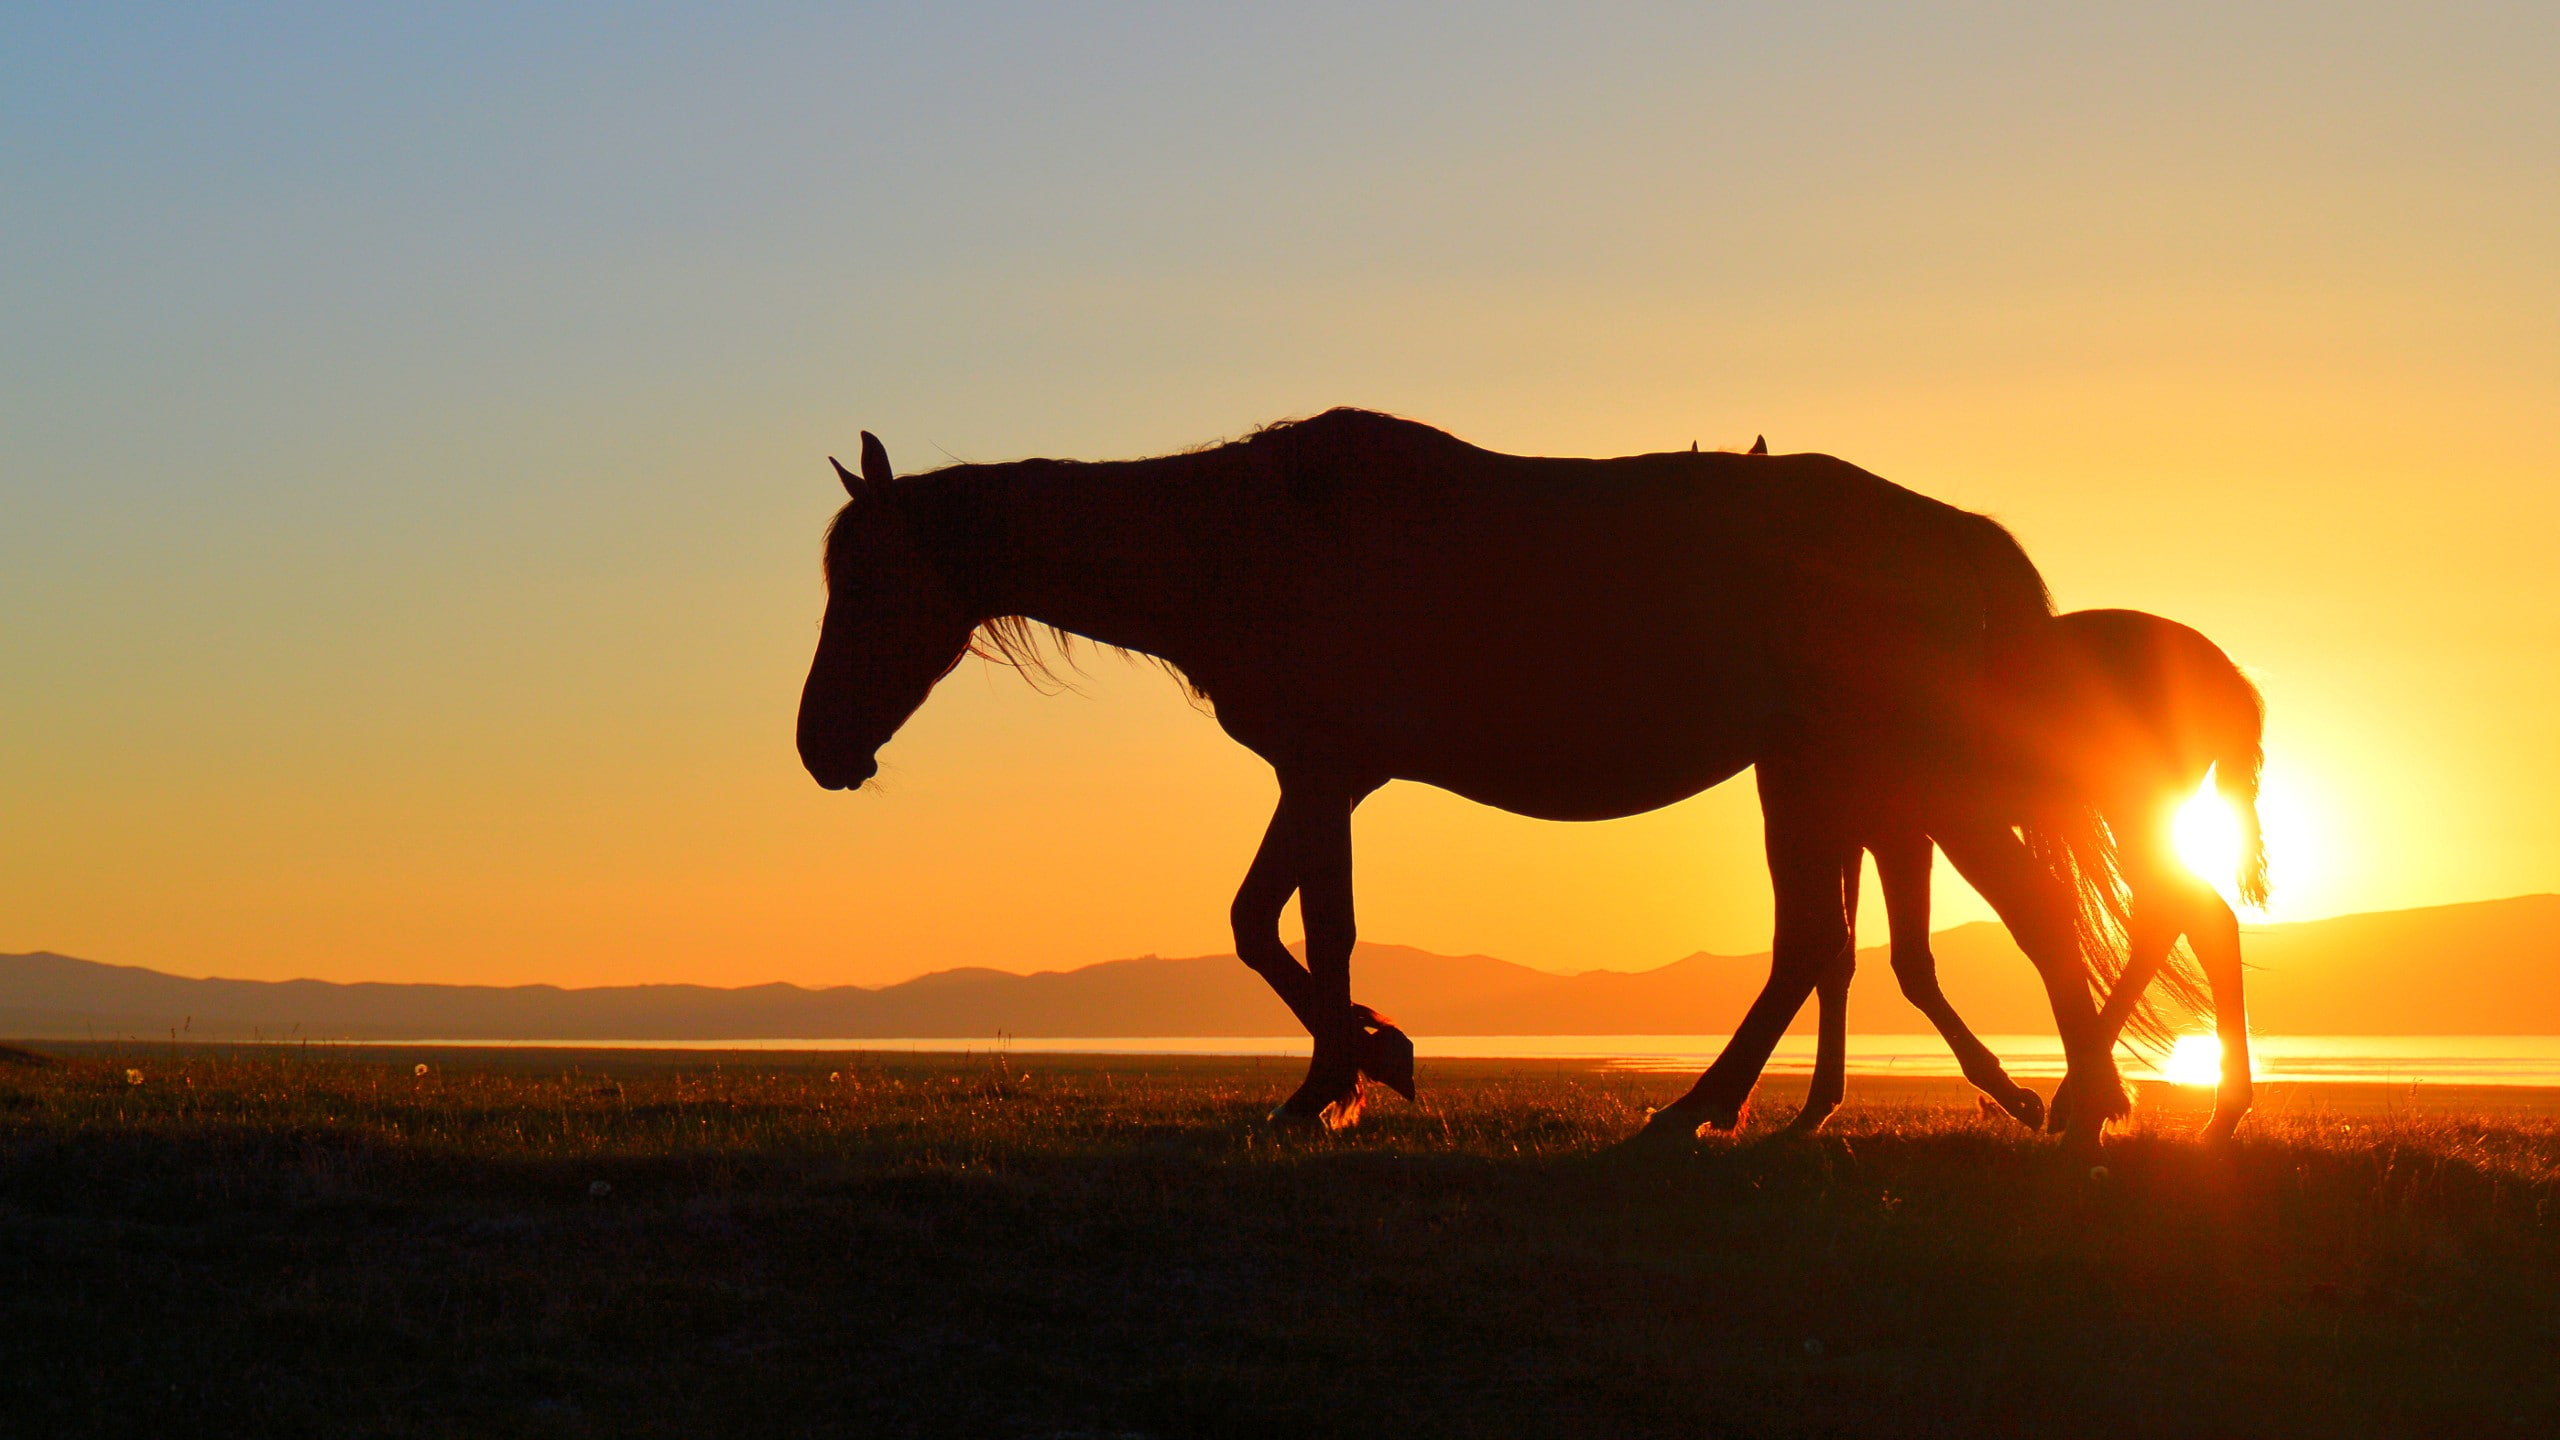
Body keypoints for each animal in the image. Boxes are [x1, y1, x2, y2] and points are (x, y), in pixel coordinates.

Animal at [795, 409, 2132, 1140]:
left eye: (866, 582)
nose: (819, 748)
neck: (1246, 540)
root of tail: (1950, 535)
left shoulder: (1322, 774)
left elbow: (1308, 929)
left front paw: (1345, 1077)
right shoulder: (1318, 775)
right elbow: (1264, 922)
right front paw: (1359, 1064)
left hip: (1878, 771)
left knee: (1979, 919)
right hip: (1824, 768)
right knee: (1846, 941)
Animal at [1768, 608, 2267, 1140]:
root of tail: (2228, 676)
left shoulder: (1900, 829)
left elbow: (1908, 963)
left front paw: (2013, 1095)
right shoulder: (1853, 833)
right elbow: (1839, 961)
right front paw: (1813, 1109)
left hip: (2133, 808)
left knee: (2183, 914)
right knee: (2189, 917)